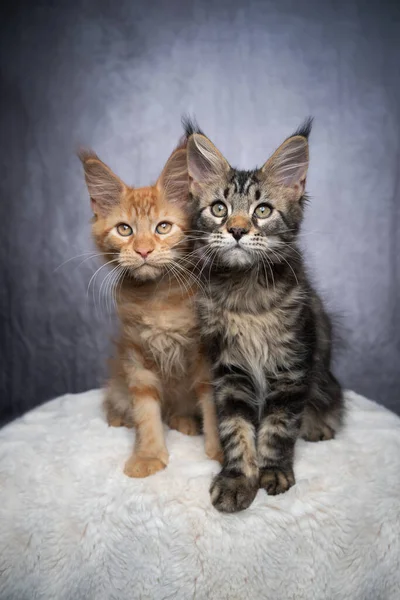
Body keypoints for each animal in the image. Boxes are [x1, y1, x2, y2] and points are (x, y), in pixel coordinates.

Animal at [79, 142, 220, 478]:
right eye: (124, 229)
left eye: (163, 227)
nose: (143, 250)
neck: (157, 299)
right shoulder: (136, 354)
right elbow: (146, 411)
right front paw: (148, 454)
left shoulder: (203, 352)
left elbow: (211, 403)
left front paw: (220, 452)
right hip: (118, 379)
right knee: (121, 400)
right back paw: (120, 417)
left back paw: (184, 421)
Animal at [184, 120, 344, 510]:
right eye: (219, 209)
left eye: (262, 211)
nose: (237, 230)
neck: (247, 296)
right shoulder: (229, 370)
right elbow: (236, 430)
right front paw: (238, 478)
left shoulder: (291, 367)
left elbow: (278, 427)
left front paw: (274, 472)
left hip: (324, 380)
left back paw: (317, 425)